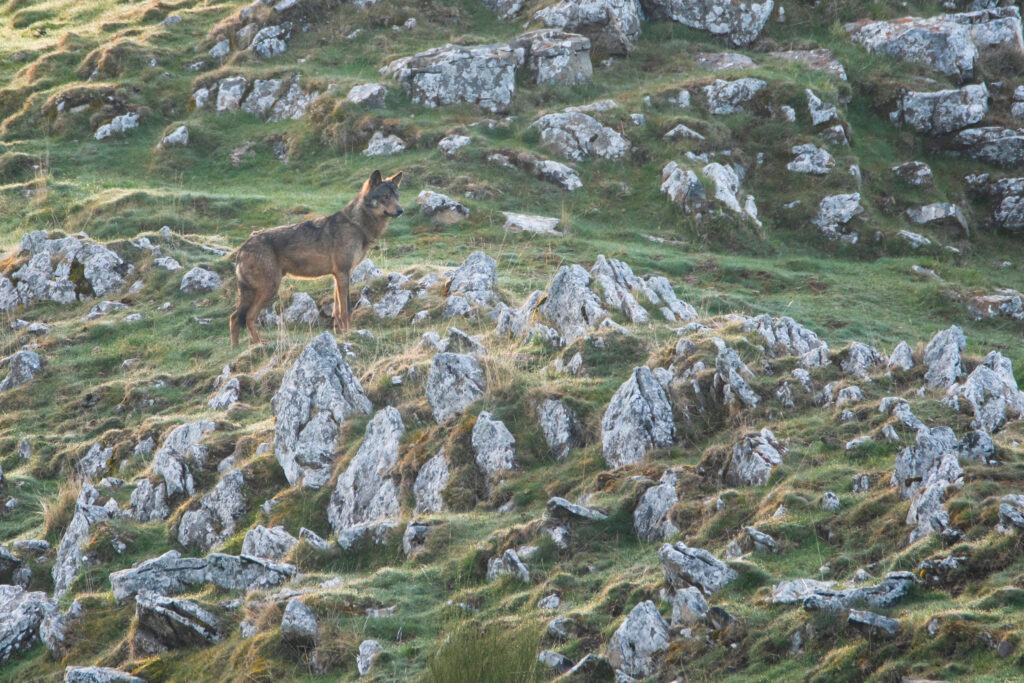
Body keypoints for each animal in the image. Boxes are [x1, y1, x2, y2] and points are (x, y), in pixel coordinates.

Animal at [229, 170, 404, 346]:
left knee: (237, 317)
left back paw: (246, 345)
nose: (401, 210)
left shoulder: (338, 276)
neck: (357, 225)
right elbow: (346, 309)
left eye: (397, 196)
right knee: (243, 317)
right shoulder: (343, 273)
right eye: (385, 196)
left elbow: (337, 310)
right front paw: (349, 333)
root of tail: (243, 247)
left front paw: (339, 332)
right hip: (269, 288)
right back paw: (250, 345)